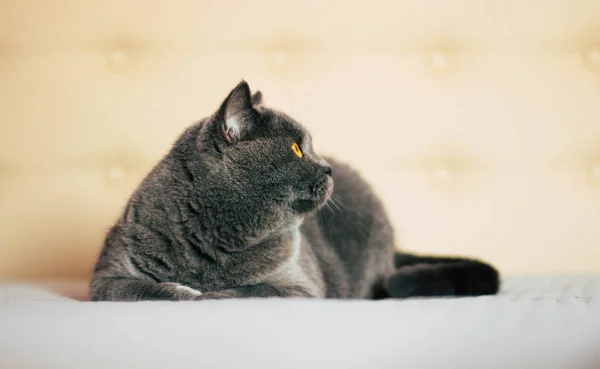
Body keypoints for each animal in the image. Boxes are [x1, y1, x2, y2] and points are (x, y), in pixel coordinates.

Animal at [90, 80, 502, 300]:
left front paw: (209, 293)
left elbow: (249, 290)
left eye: (309, 147)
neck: (217, 237)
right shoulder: (106, 278)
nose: (328, 166)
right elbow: (140, 289)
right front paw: (186, 291)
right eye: (296, 148)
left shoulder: (298, 287)